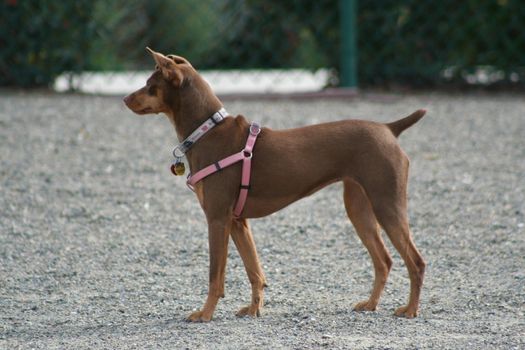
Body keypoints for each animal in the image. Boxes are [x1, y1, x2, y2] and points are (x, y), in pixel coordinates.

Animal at [123, 48, 426, 322]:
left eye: (149, 84)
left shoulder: (217, 219)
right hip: (359, 208)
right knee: (384, 260)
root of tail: (388, 129)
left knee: (416, 262)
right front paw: (253, 310)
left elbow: (215, 277)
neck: (207, 131)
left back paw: (410, 310)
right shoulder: (238, 222)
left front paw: (205, 314)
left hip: (387, 204)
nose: (125, 98)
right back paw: (371, 304)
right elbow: (255, 272)